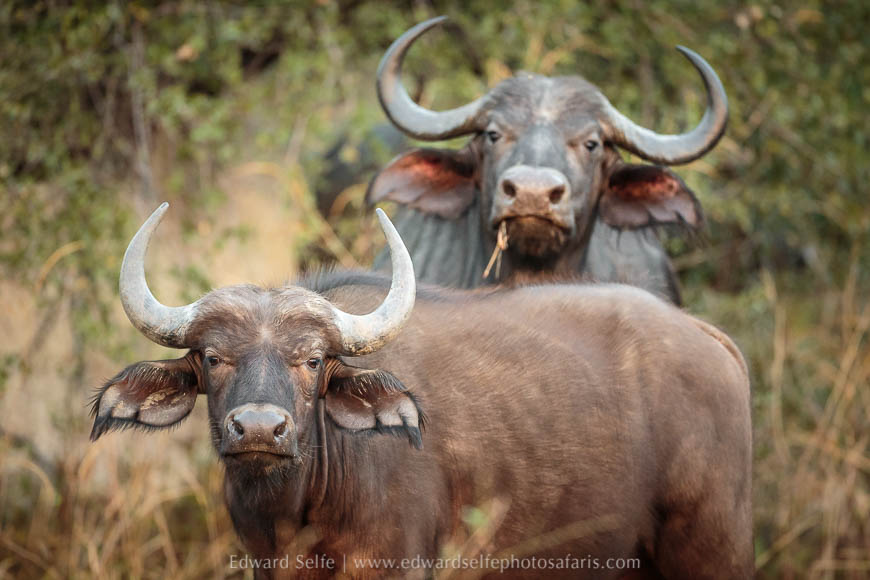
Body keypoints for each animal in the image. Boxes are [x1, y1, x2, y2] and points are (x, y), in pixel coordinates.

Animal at [91, 203, 752, 578]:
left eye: (313, 360)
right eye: (212, 357)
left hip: (709, 548)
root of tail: (709, 338)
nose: (259, 429)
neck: (297, 509)